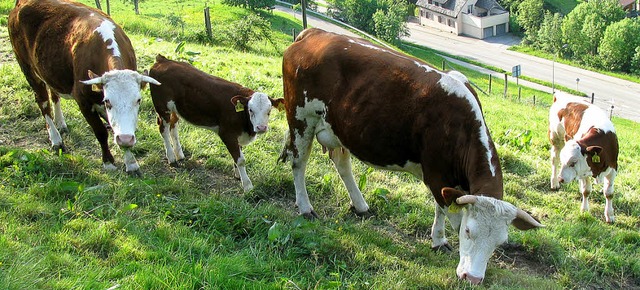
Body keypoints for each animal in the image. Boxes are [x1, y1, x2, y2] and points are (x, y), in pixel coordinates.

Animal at [7, 0, 160, 176]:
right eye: (108, 101)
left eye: (138, 101)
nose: (126, 139)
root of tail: (20, 4)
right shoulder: (83, 101)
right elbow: (101, 131)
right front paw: (108, 162)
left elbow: (116, 128)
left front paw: (131, 163)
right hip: (27, 68)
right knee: (43, 103)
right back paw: (56, 139)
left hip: (50, 71)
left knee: (54, 95)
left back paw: (61, 124)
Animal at [149, 54, 284, 193]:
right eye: (250, 110)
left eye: (269, 111)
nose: (261, 127)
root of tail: (163, 60)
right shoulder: (227, 133)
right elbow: (240, 159)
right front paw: (247, 185)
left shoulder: (238, 134)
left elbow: (238, 154)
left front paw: (238, 175)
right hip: (162, 107)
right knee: (163, 128)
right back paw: (171, 157)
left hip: (175, 109)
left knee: (173, 125)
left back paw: (179, 154)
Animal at [280, 28, 544, 284]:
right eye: (469, 231)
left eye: (499, 242)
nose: (473, 278)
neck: (460, 124)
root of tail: (315, 33)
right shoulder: (437, 174)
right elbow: (449, 213)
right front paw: (444, 244)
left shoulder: (447, 180)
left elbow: (441, 207)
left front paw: (439, 241)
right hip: (301, 118)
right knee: (299, 162)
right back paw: (305, 208)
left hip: (338, 128)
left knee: (342, 163)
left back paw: (361, 206)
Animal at [548, 92, 616, 222]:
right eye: (564, 162)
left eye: (573, 162)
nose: (561, 179)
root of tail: (561, 93)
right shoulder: (584, 171)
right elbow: (586, 191)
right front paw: (584, 210)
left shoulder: (613, 168)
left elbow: (609, 193)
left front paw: (610, 215)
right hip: (555, 137)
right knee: (554, 159)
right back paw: (554, 182)